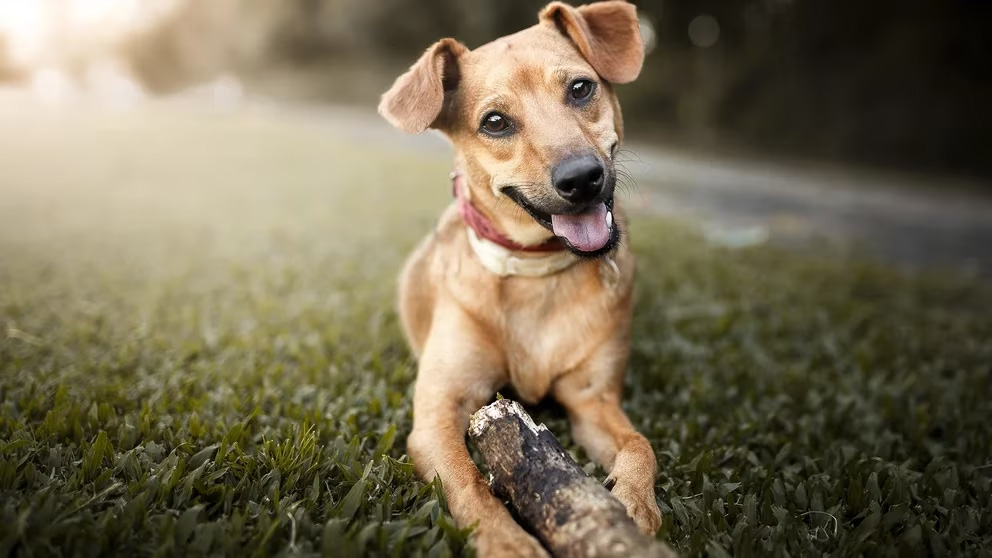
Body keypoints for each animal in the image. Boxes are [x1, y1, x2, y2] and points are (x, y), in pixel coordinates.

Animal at [380, 2, 660, 556]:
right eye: (495, 122)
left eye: (581, 88)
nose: (582, 178)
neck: (536, 272)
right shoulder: (438, 417)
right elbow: (468, 483)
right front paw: (507, 542)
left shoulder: (592, 401)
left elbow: (641, 445)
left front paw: (636, 502)